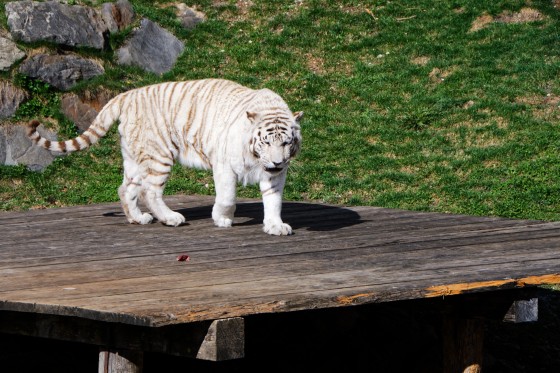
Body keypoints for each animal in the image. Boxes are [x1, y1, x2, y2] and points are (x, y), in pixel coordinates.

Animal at [27, 79, 302, 235]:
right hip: (159, 154)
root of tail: (127, 95)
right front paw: (222, 219)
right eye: (265, 142)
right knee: (150, 192)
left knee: (125, 188)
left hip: (135, 157)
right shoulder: (224, 164)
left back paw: (138, 219)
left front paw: (275, 226)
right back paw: (170, 218)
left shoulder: (276, 175)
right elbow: (228, 196)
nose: (277, 162)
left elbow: (274, 201)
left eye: (286, 142)